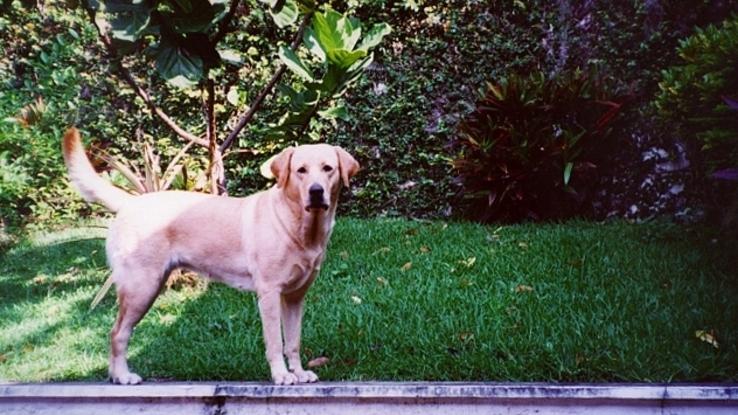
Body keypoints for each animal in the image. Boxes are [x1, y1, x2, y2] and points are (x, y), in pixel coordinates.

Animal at [63, 128, 360, 386]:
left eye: (327, 168)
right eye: (301, 171)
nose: (316, 191)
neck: (296, 224)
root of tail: (131, 201)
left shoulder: (295, 297)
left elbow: (294, 342)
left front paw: (298, 373)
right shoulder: (269, 294)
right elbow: (276, 342)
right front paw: (282, 375)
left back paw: (116, 375)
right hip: (141, 287)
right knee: (117, 333)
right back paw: (123, 376)